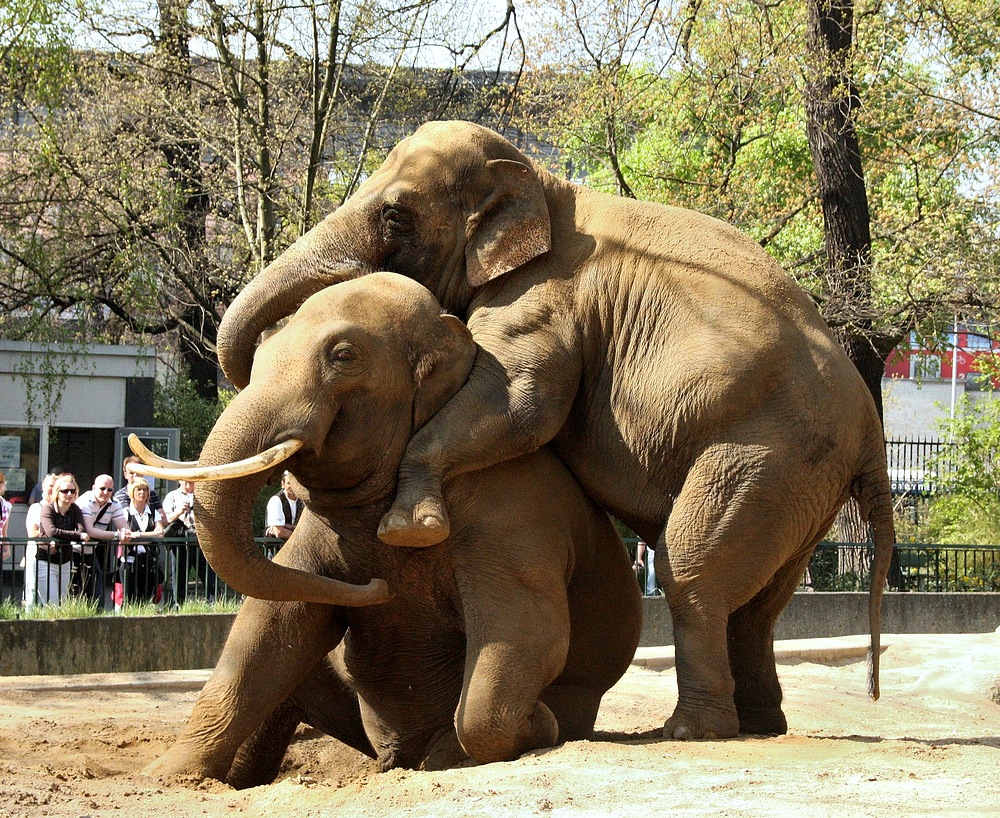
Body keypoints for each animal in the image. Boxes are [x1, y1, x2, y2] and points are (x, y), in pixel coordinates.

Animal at [139, 274, 640, 784]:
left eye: (343, 355)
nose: (377, 586)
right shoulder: (318, 538)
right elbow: (269, 629)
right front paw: (166, 775)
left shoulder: (513, 512)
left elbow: (529, 634)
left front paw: (542, 724)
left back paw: (439, 754)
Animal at [213, 119, 900, 740]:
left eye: (396, 217)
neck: (545, 187)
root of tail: (872, 433)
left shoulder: (539, 298)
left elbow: (521, 402)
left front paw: (412, 524)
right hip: (803, 486)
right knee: (759, 604)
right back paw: (759, 727)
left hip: (768, 454)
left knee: (692, 570)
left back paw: (689, 731)